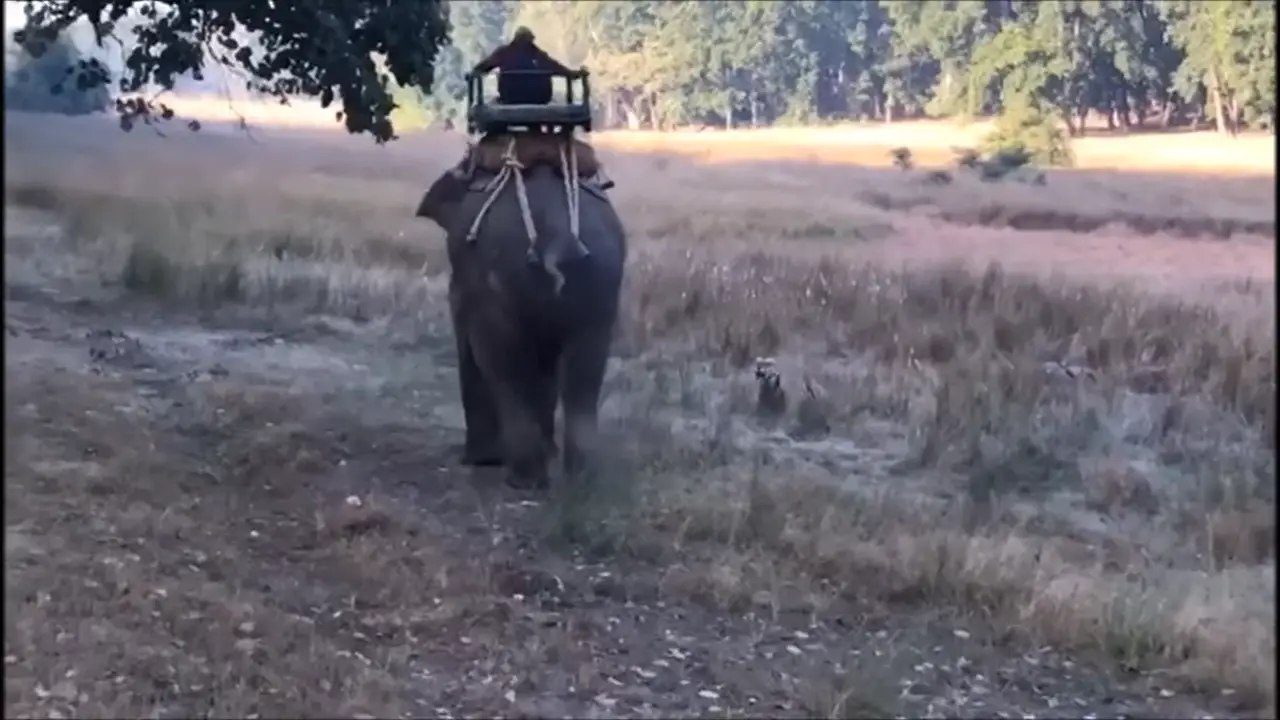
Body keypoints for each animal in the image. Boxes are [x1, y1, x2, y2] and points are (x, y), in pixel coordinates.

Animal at [412, 152, 627, 486]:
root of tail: (557, 238)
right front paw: (549, 452)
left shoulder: (464, 282)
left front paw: (480, 461)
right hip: (600, 283)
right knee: (587, 368)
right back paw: (580, 477)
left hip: (500, 287)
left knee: (502, 364)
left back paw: (522, 478)